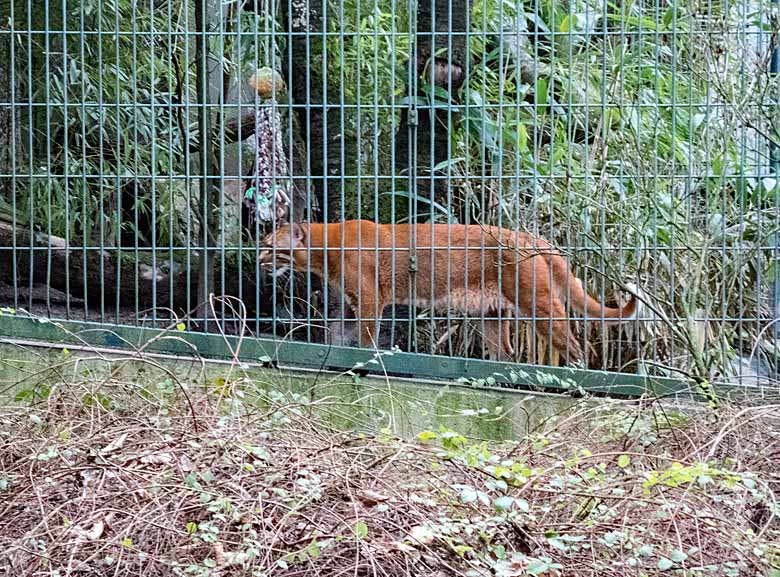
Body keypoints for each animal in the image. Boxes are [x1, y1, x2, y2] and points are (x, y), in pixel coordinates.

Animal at [258, 220, 636, 364]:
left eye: (269, 247)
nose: (257, 259)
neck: (327, 246)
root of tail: (532, 237)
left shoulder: (369, 299)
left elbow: (366, 339)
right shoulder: (350, 304)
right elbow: (340, 337)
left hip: (537, 302)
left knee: (573, 343)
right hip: (492, 314)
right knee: (507, 354)